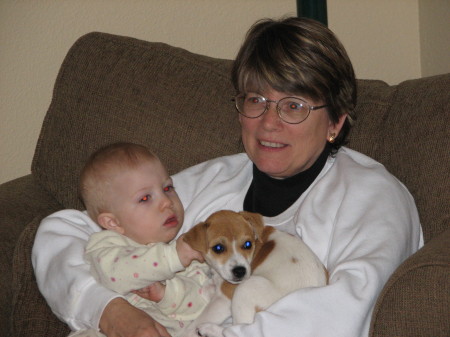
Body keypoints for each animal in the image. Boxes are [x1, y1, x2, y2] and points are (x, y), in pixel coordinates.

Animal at [182, 209, 326, 334]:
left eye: (247, 244)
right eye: (218, 248)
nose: (240, 271)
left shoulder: (224, 299)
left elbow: (197, 321)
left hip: (246, 288)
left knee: (238, 328)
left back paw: (209, 329)